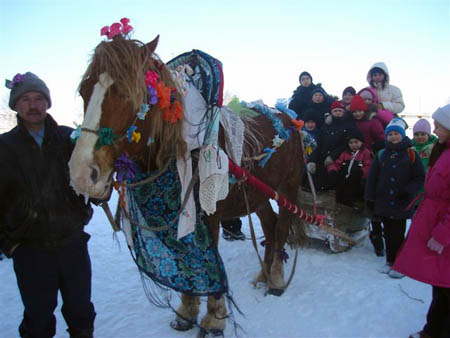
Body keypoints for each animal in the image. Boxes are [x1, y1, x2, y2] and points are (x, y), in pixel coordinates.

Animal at [67, 33, 306, 336]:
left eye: (125, 92)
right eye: (85, 91)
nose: (82, 174)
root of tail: (289, 119)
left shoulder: (210, 214)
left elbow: (208, 258)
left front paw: (215, 317)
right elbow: (187, 259)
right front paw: (186, 312)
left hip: (288, 188)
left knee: (283, 226)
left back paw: (275, 280)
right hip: (259, 194)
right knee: (270, 225)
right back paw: (263, 274)